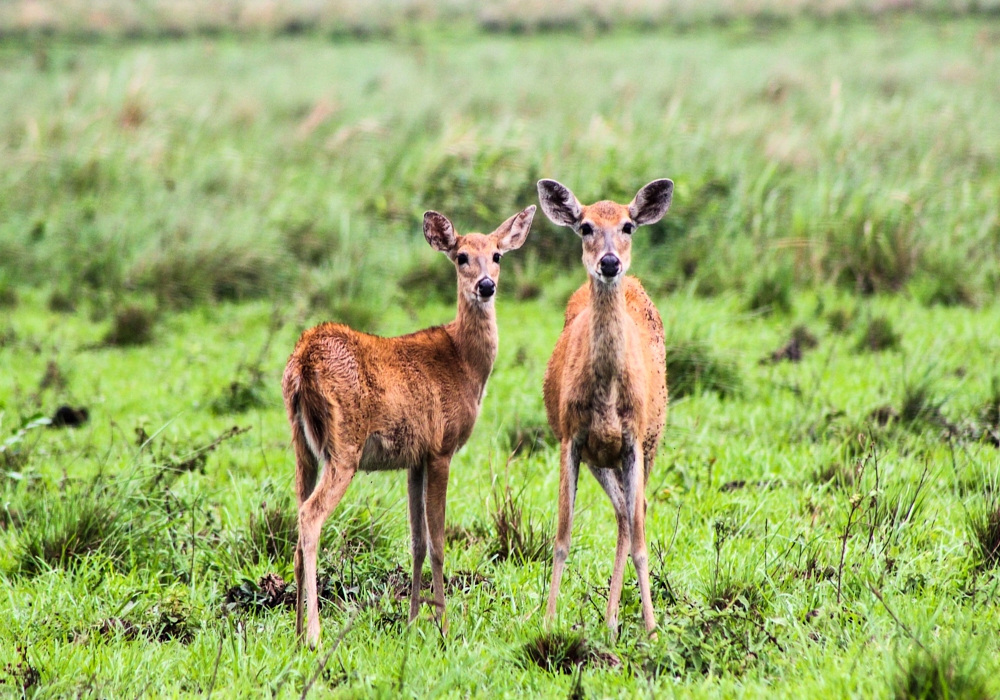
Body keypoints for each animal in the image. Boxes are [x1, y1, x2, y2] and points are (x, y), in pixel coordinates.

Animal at [282, 205, 536, 648]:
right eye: (461, 256)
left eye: (497, 255)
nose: (486, 286)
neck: (464, 363)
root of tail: (303, 359)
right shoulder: (441, 448)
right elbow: (438, 543)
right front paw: (443, 626)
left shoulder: (415, 458)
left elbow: (416, 542)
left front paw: (414, 621)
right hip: (343, 447)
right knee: (310, 518)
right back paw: (314, 635)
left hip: (302, 448)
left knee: (297, 522)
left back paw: (297, 633)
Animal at [540, 178, 672, 636]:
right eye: (585, 226)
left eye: (628, 225)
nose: (610, 262)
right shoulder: (571, 438)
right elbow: (562, 535)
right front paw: (547, 622)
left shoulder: (633, 440)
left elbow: (641, 541)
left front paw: (652, 629)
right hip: (601, 458)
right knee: (621, 515)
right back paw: (611, 619)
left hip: (651, 442)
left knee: (636, 514)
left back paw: (616, 620)